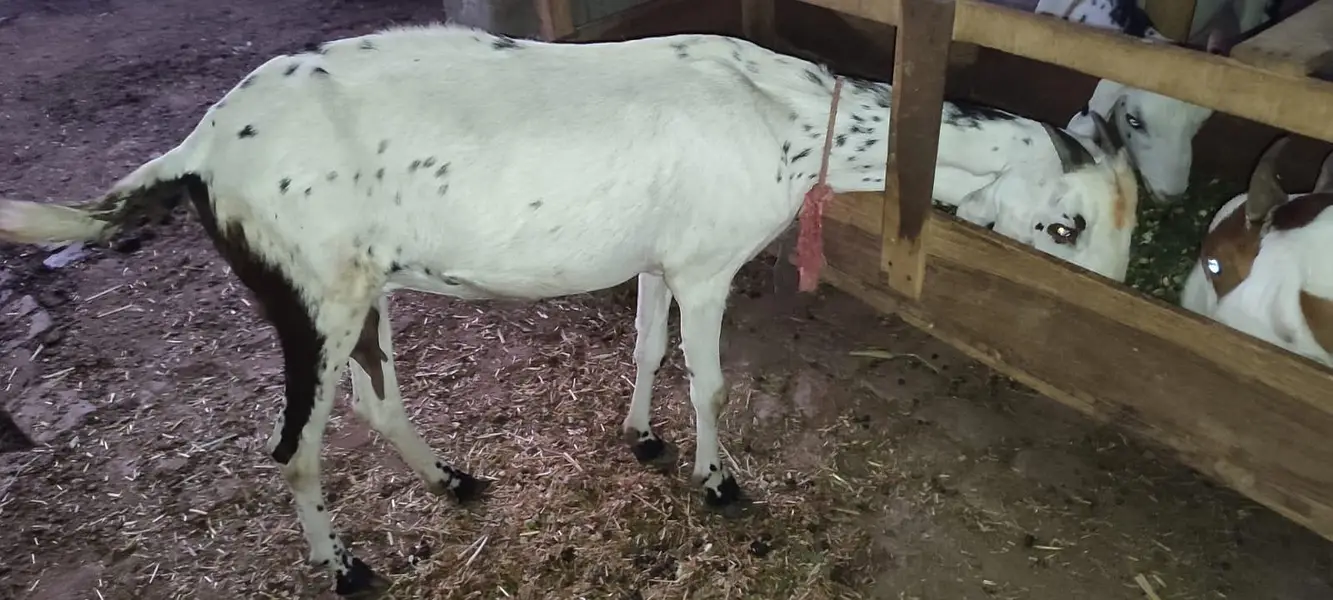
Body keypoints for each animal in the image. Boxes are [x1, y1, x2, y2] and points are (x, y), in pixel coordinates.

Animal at [0, 24, 1134, 597]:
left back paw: (453, 481)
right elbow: (709, 379)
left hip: (359, 292)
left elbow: (643, 348)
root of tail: (197, 149)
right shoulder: (709, 263)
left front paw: (639, 439)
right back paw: (345, 566)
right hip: (309, 296)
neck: (788, 119)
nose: (1111, 318)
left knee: (373, 399)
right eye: (1067, 224)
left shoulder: (658, 256)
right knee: (292, 448)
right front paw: (720, 482)